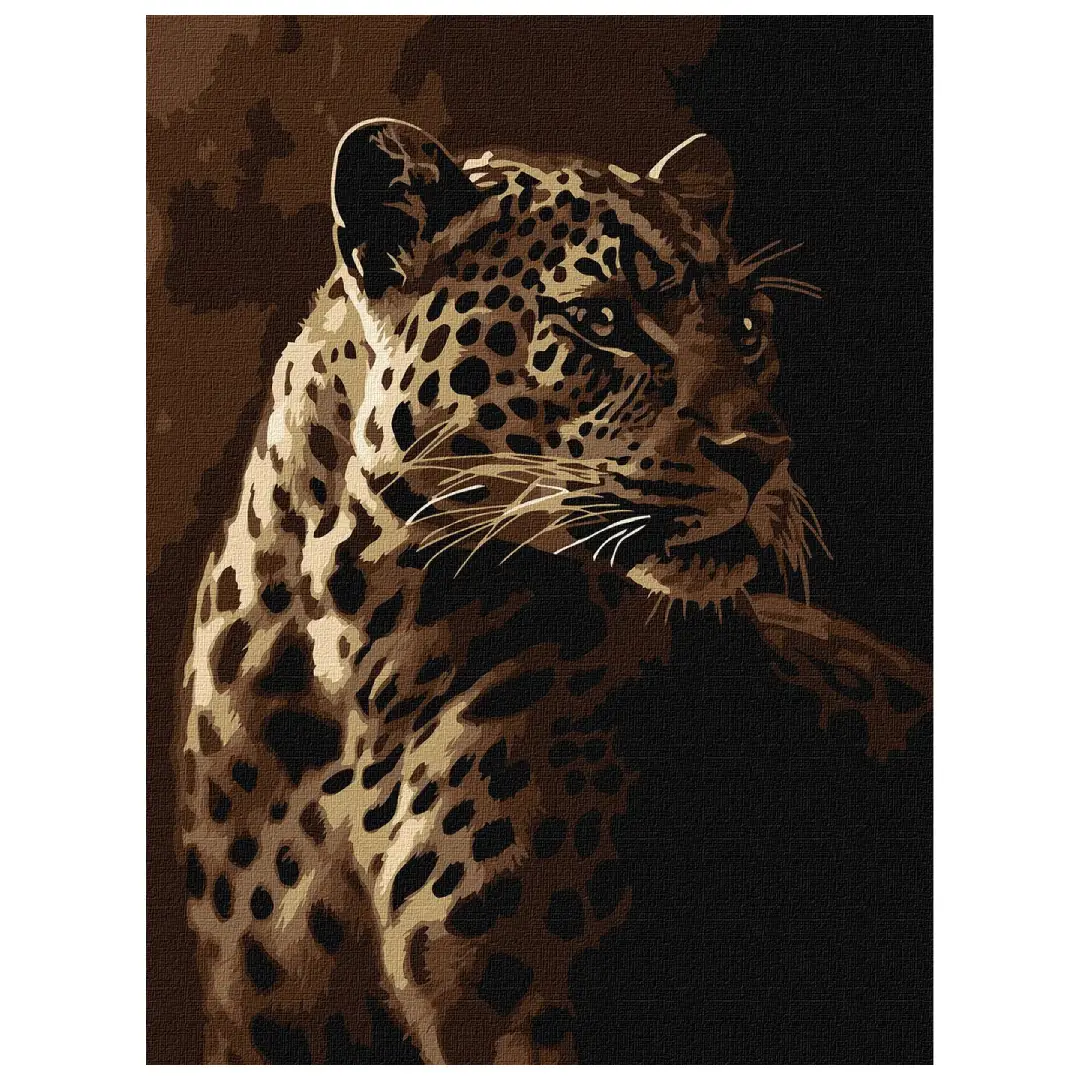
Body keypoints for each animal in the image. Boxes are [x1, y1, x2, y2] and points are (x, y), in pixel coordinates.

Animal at [177, 118, 932, 1064]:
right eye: (603, 319)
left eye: (749, 325)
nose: (765, 451)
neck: (356, 637)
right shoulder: (258, 1021)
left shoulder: (533, 1017)